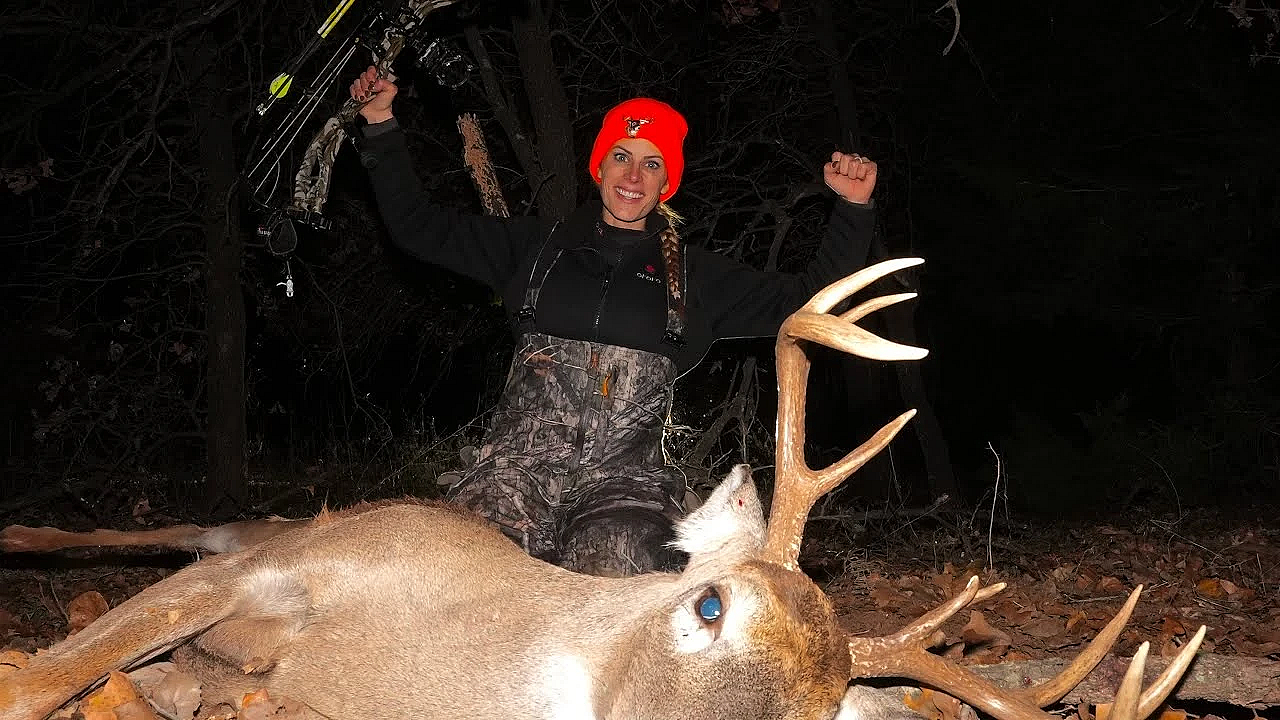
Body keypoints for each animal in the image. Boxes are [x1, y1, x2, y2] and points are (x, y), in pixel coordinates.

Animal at [0, 258, 1205, 720]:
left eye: (814, 718)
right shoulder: (290, 567)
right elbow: (36, 678)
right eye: (709, 603)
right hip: (259, 527)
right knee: (100, 533)